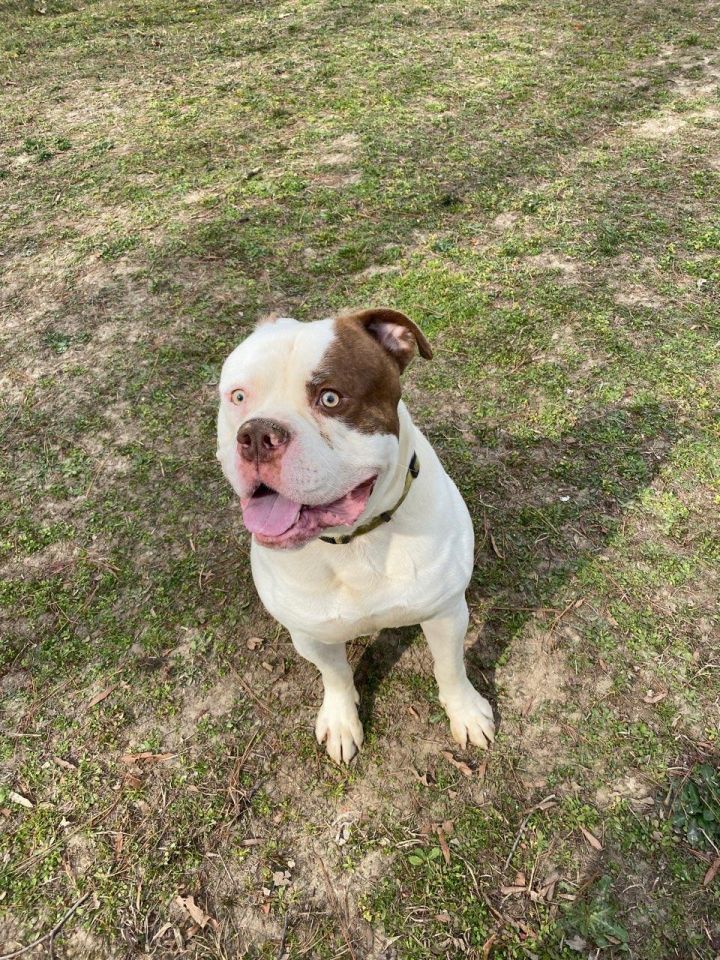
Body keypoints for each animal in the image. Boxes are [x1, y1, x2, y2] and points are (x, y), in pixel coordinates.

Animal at [215, 312, 496, 760]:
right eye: (238, 397)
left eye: (331, 398)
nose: (256, 434)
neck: (354, 540)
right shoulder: (310, 635)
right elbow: (335, 675)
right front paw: (341, 721)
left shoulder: (446, 613)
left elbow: (451, 667)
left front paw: (466, 712)